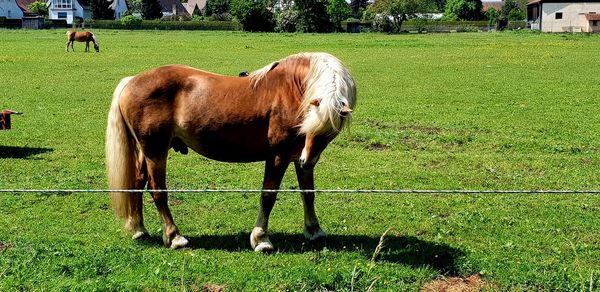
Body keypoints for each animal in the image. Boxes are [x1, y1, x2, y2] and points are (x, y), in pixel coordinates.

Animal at [105, 52, 356, 251]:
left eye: (330, 130)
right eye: (311, 123)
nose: (308, 160)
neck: (291, 89)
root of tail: (131, 81)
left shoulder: (298, 155)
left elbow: (308, 193)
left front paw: (314, 230)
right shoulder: (278, 155)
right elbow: (268, 195)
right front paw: (261, 239)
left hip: (148, 152)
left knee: (137, 183)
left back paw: (139, 229)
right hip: (155, 152)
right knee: (158, 191)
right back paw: (174, 237)